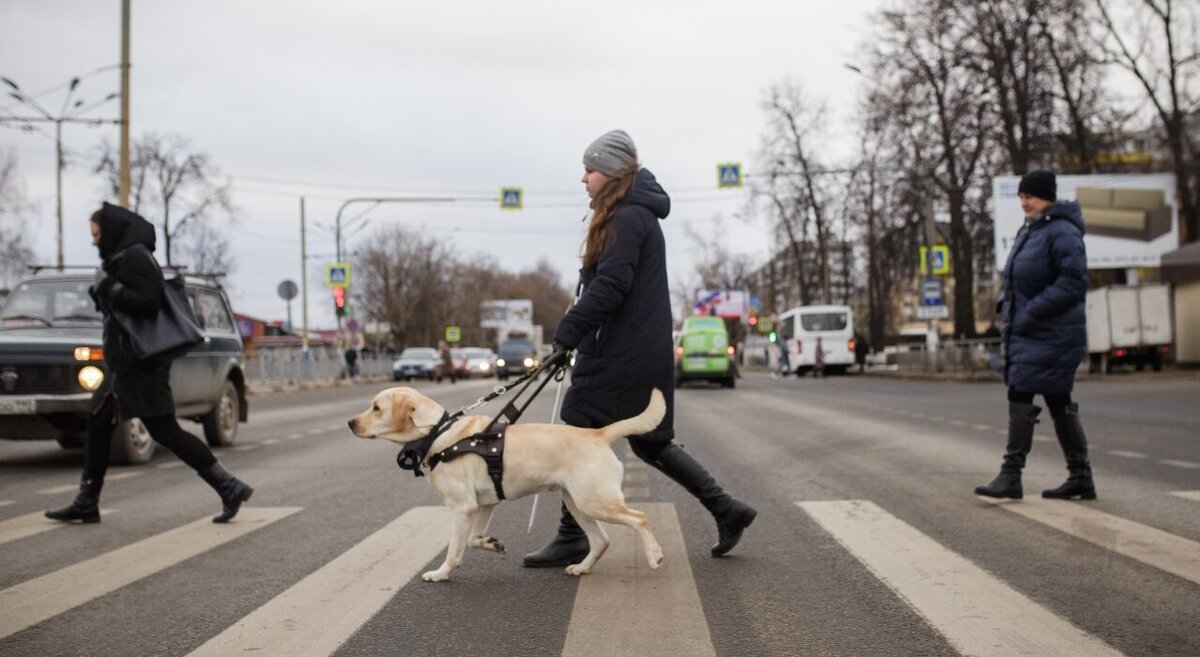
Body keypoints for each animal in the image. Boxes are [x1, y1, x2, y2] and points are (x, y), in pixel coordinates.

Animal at [348, 386, 667, 580]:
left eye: (376, 408)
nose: (350, 423)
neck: (437, 434)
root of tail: (598, 433)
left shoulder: (463, 508)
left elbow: (453, 548)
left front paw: (441, 573)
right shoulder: (484, 504)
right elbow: (472, 540)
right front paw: (492, 543)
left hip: (595, 501)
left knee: (641, 517)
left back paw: (654, 555)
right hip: (578, 504)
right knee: (602, 540)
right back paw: (582, 567)